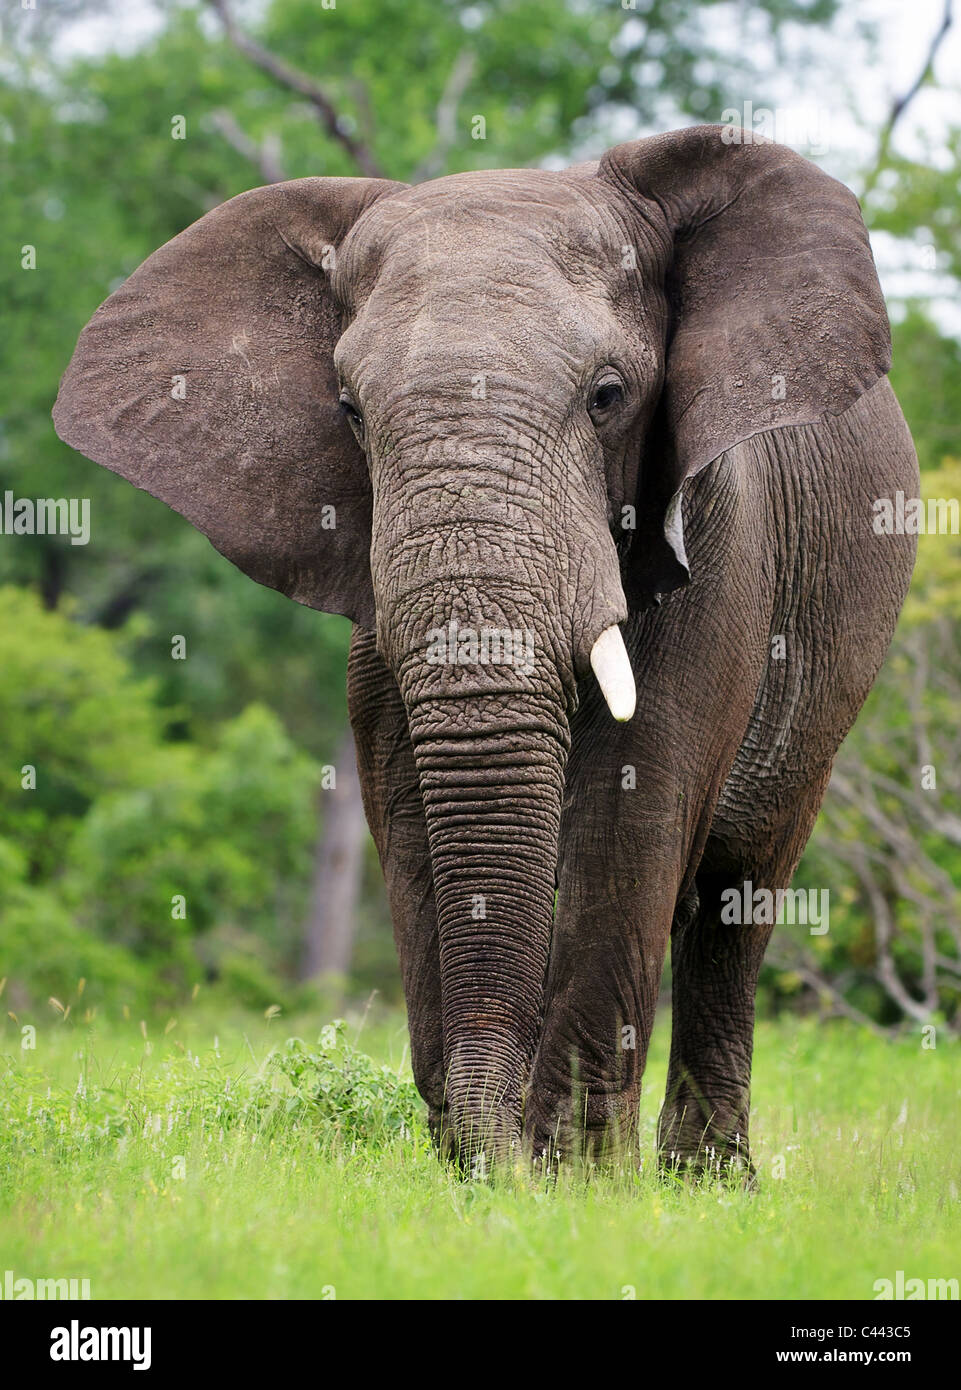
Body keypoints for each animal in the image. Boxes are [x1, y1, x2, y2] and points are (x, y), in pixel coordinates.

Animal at [54, 125, 918, 1176]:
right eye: (348, 410)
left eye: (608, 396)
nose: (496, 1158)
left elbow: (636, 795)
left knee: (736, 893)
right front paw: (484, 1171)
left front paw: (576, 1181)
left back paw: (707, 1182)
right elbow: (406, 800)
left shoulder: (721, 537)